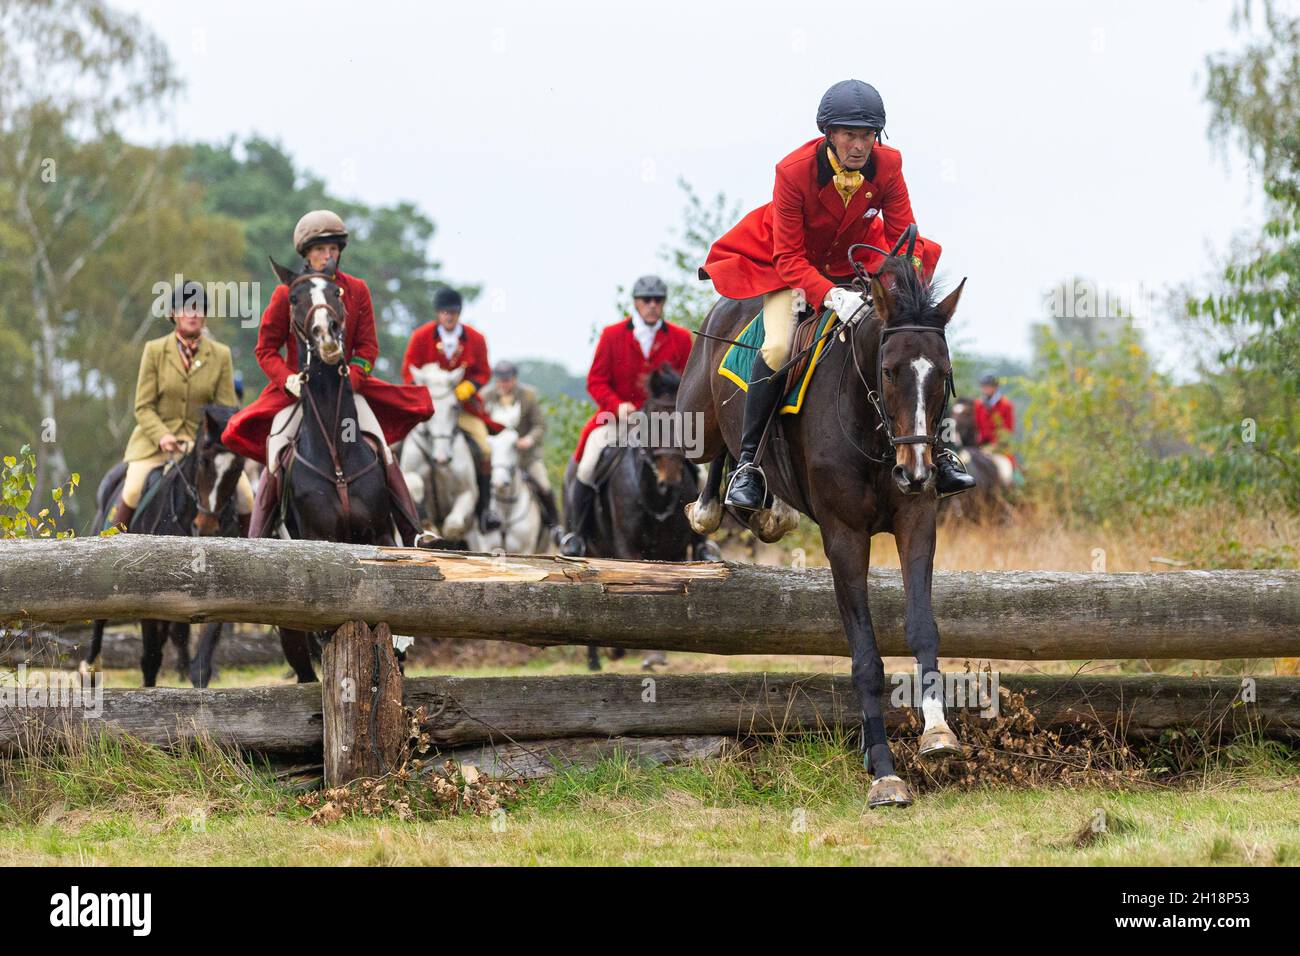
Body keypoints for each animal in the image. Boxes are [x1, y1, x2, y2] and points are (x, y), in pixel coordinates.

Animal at [81, 408, 244, 686]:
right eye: (204, 461)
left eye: (238, 468)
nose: (207, 526)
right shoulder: (148, 594)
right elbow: (151, 658)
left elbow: (202, 658)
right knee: (101, 618)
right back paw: (90, 668)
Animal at [397, 366, 480, 541]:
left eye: (454, 406)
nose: (442, 459)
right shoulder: (407, 474)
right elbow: (414, 484)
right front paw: (424, 519)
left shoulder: (468, 493)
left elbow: (452, 526)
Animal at [681, 240, 967, 806]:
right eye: (888, 371)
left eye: (942, 375)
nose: (917, 472)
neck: (876, 432)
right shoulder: (844, 537)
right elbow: (866, 657)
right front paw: (884, 772)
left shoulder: (917, 522)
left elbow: (922, 627)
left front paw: (937, 733)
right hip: (693, 418)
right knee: (716, 445)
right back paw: (722, 498)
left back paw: (769, 508)